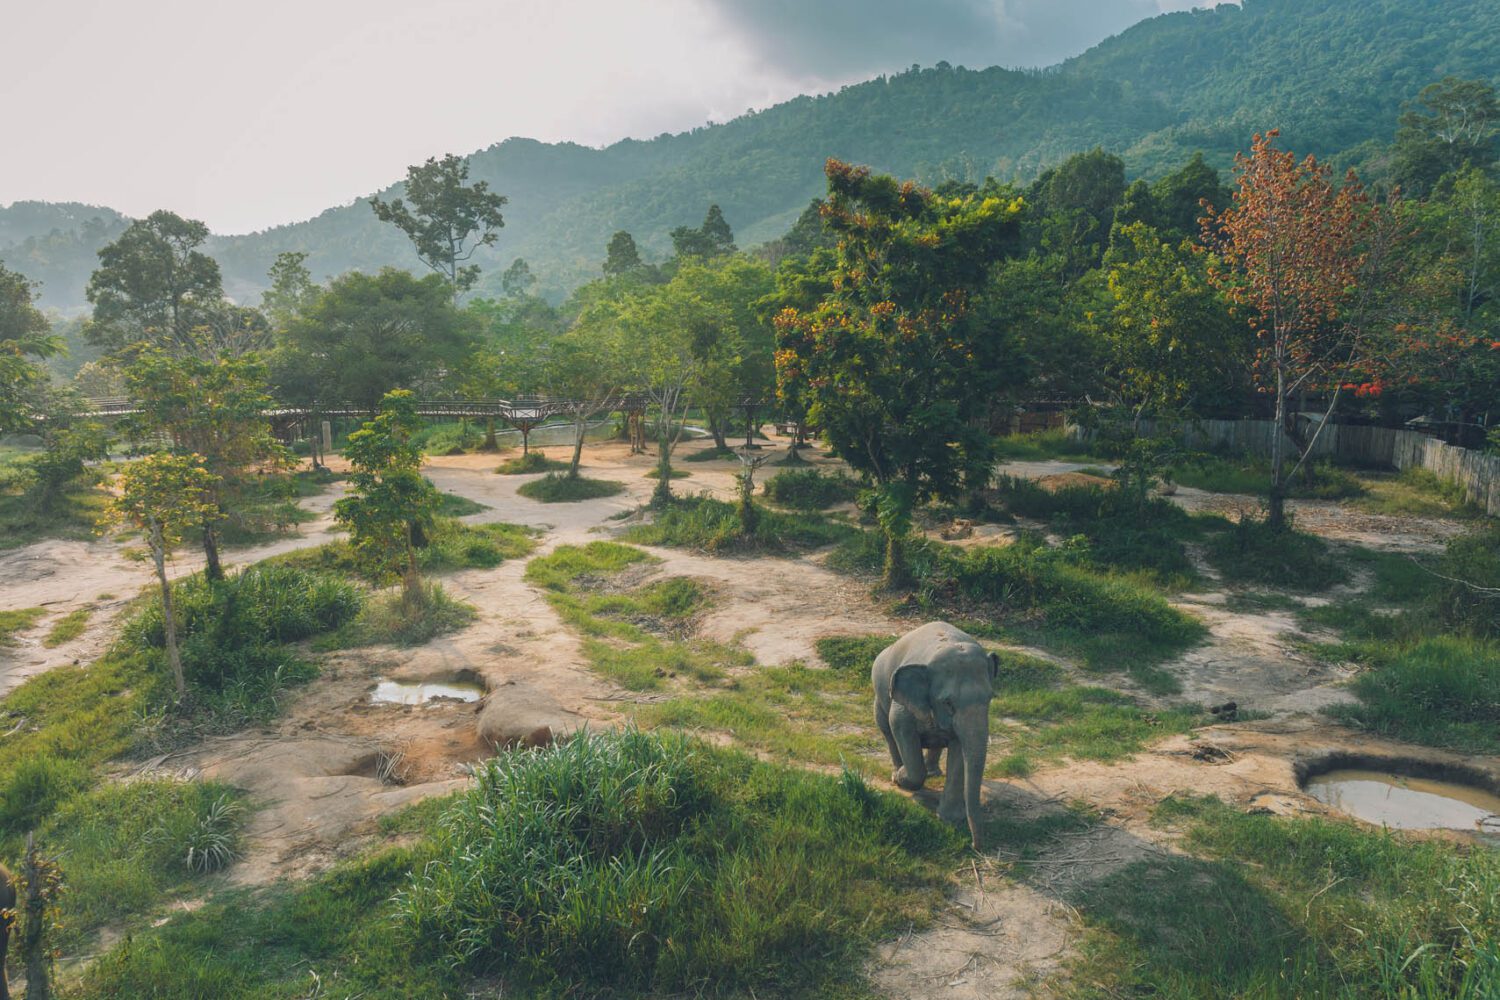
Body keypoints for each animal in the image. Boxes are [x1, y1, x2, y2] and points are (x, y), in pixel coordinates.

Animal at [870, 620, 996, 851]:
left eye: (990, 697)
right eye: (948, 702)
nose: (976, 846)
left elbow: (958, 750)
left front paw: (950, 819)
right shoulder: (902, 706)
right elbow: (900, 727)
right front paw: (901, 778)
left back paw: (933, 772)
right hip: (879, 699)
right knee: (888, 731)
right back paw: (897, 771)